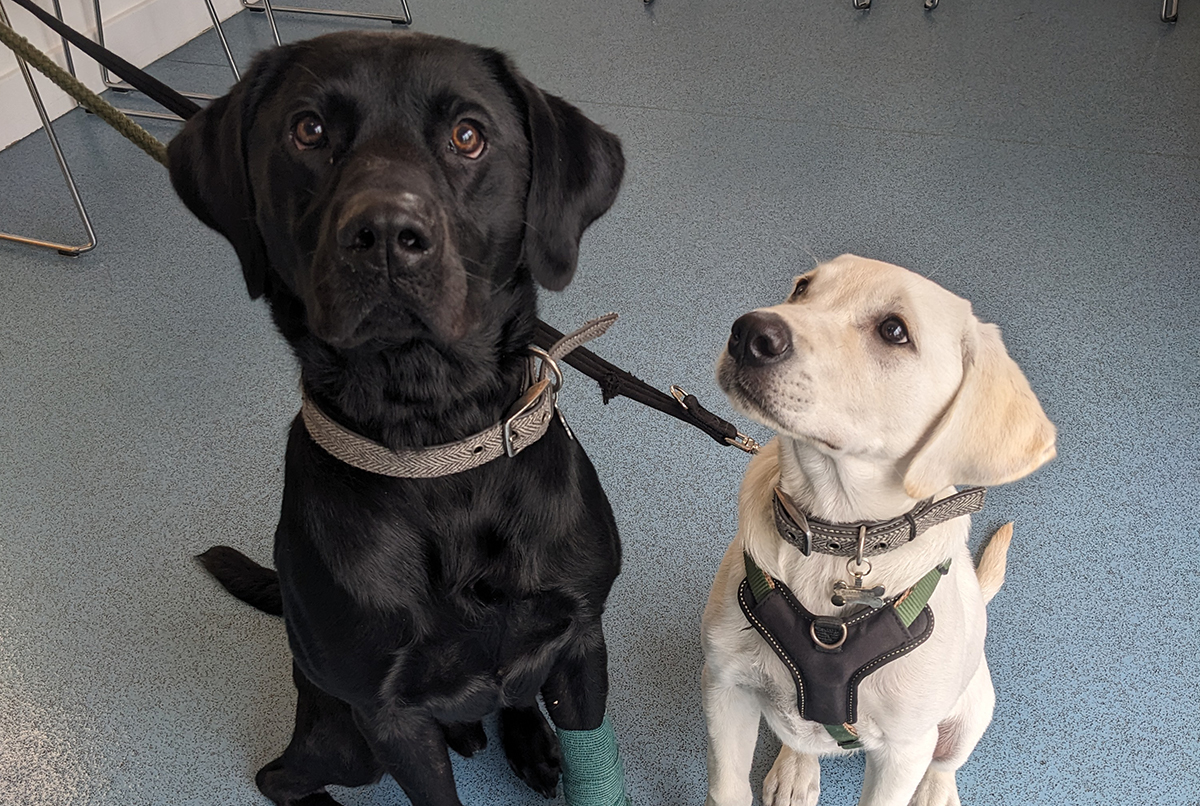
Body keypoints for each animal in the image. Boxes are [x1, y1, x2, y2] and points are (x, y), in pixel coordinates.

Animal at [700, 253, 1060, 806]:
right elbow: (727, 789)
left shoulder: (904, 749)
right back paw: (796, 769)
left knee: (944, 761)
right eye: (802, 289)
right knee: (801, 738)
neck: (838, 534)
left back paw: (935, 791)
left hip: (971, 711)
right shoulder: (725, 687)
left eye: (894, 331)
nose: (748, 332)